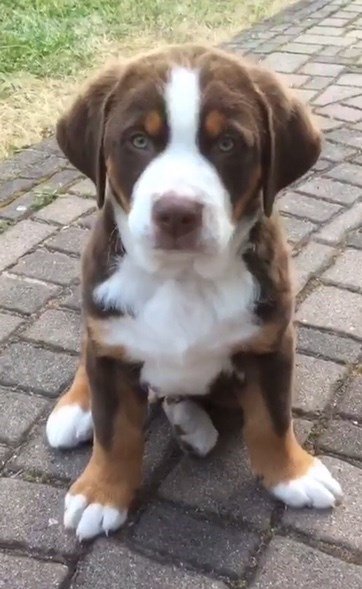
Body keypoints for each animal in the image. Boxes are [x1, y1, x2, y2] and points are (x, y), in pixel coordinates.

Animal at [45, 43, 342, 540]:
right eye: (138, 141)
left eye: (227, 144)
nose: (177, 212)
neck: (181, 278)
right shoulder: (108, 343)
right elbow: (113, 431)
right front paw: (100, 493)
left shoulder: (271, 343)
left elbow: (272, 419)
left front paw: (293, 474)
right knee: (88, 363)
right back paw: (76, 409)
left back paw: (191, 425)